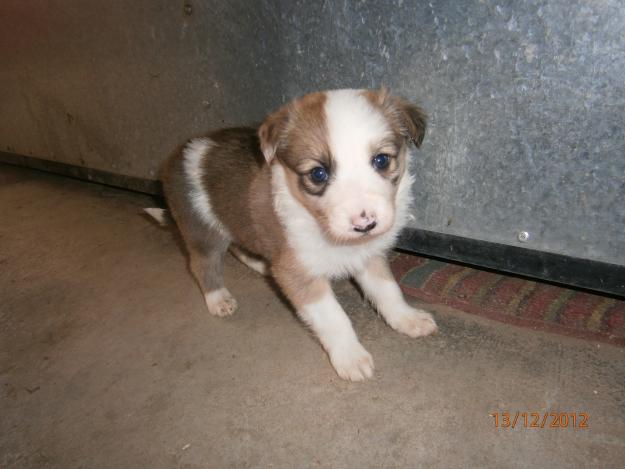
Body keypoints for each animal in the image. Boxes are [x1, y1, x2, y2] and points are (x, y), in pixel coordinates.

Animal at [152, 88, 434, 380]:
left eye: (381, 160)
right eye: (318, 173)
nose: (365, 224)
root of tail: (178, 155)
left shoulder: (369, 254)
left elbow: (388, 290)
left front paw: (408, 319)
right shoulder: (298, 273)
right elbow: (334, 317)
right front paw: (350, 357)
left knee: (239, 247)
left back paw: (261, 266)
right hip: (203, 231)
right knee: (201, 265)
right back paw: (218, 299)